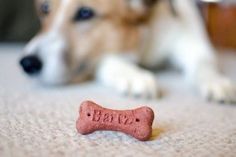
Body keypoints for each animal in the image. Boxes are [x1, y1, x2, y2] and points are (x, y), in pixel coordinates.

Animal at [19, 0, 236, 103]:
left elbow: (204, 64)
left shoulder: (193, 45)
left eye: (85, 13)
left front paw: (217, 82)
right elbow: (108, 60)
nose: (27, 63)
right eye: (45, 8)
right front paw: (133, 75)